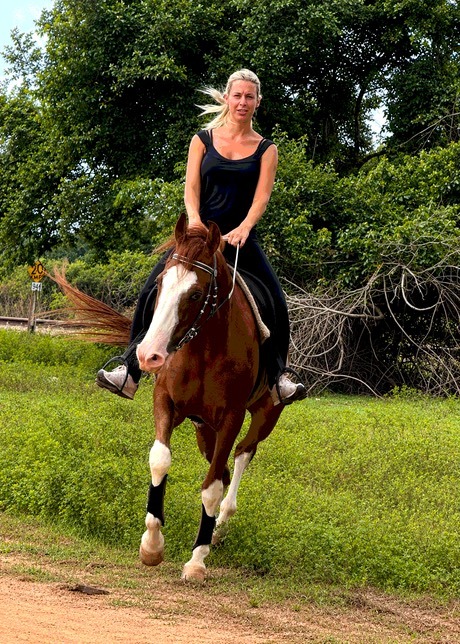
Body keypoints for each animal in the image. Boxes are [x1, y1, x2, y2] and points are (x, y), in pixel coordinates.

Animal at [52, 213, 286, 582]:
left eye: (196, 294)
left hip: (264, 414)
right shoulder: (165, 402)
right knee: (221, 466)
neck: (204, 349)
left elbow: (211, 487)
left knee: (241, 456)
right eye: (160, 285)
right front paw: (151, 546)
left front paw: (197, 561)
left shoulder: (232, 417)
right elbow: (160, 461)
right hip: (204, 428)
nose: (149, 355)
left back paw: (220, 525)